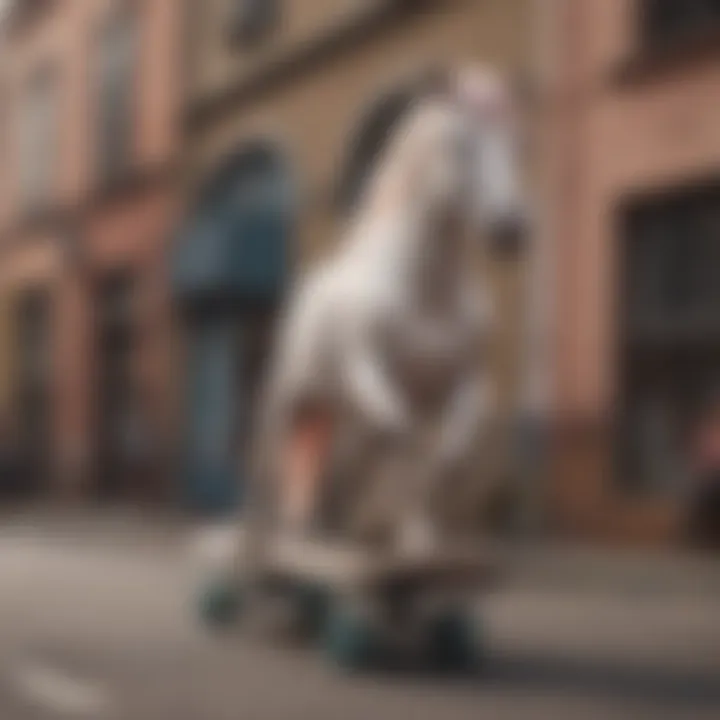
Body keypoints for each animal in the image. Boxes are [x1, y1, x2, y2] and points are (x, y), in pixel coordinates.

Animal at [246, 64, 524, 556]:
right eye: (460, 144)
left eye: (515, 140)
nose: (511, 230)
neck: (426, 292)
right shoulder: (369, 372)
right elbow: (401, 440)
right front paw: (406, 536)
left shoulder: (461, 387)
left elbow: (444, 457)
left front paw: (418, 537)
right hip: (294, 399)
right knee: (278, 464)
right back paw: (275, 538)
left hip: (334, 409)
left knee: (335, 459)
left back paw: (325, 527)